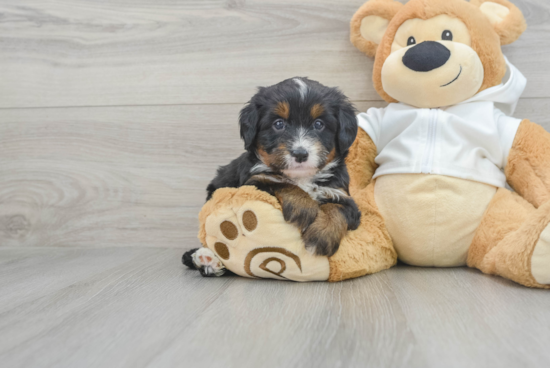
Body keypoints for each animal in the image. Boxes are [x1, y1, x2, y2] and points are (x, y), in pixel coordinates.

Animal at [185, 77, 364, 274]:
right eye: (278, 124)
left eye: (319, 124)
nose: (300, 154)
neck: (302, 177)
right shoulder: (253, 182)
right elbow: (280, 181)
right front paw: (303, 205)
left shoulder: (342, 194)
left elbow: (337, 209)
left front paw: (322, 235)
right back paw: (206, 259)